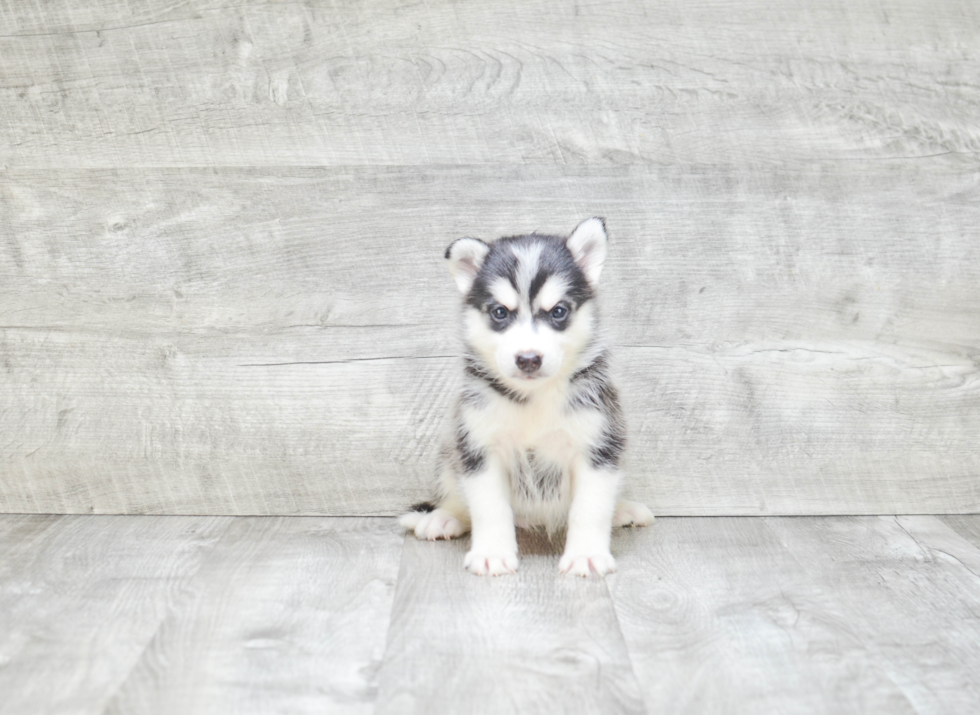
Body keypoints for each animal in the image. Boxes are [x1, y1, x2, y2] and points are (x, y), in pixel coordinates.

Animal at [398, 217, 652, 576]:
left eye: (558, 311)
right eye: (500, 313)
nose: (528, 359)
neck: (534, 398)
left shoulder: (598, 446)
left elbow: (589, 509)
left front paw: (586, 554)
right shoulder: (480, 449)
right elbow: (489, 508)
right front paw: (491, 552)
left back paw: (623, 510)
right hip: (451, 452)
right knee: (457, 498)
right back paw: (444, 517)